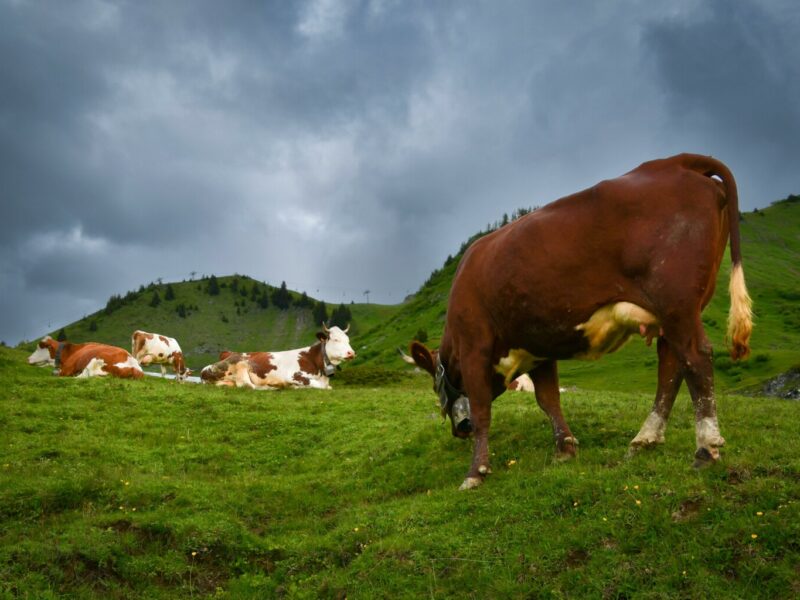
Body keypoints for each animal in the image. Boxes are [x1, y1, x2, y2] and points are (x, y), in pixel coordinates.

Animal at [200, 324, 356, 389]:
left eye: (348, 340)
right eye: (335, 340)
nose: (351, 353)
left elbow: (327, 387)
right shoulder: (295, 376)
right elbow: (321, 386)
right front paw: (295, 387)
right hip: (241, 364)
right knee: (248, 386)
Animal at [407, 154, 753, 490]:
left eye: (435, 384)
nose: (459, 430)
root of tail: (677, 161)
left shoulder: (474, 345)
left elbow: (482, 410)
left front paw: (475, 472)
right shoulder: (537, 346)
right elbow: (548, 400)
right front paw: (565, 448)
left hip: (676, 303)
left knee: (695, 358)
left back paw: (705, 448)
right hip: (674, 312)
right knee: (671, 367)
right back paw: (645, 439)